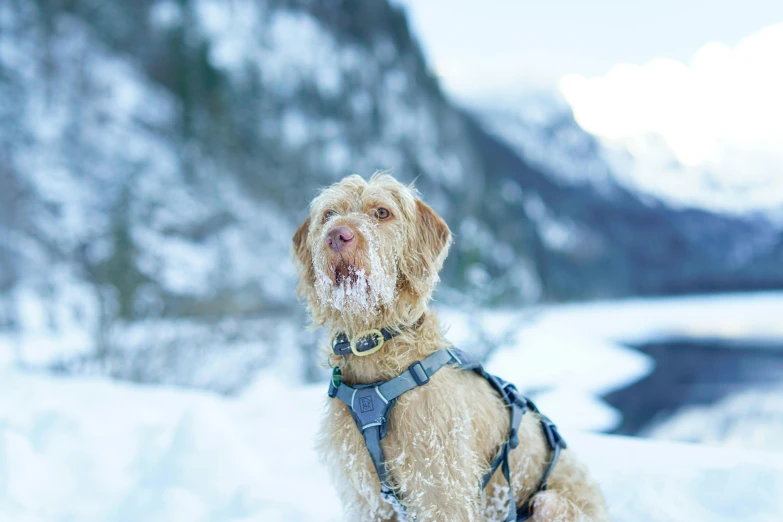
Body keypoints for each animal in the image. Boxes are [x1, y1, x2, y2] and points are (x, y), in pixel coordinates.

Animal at [294, 174, 612, 520]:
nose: (337, 236)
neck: (375, 345)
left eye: (381, 212)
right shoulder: (368, 498)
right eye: (328, 214)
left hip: (549, 501)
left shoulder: (441, 488)